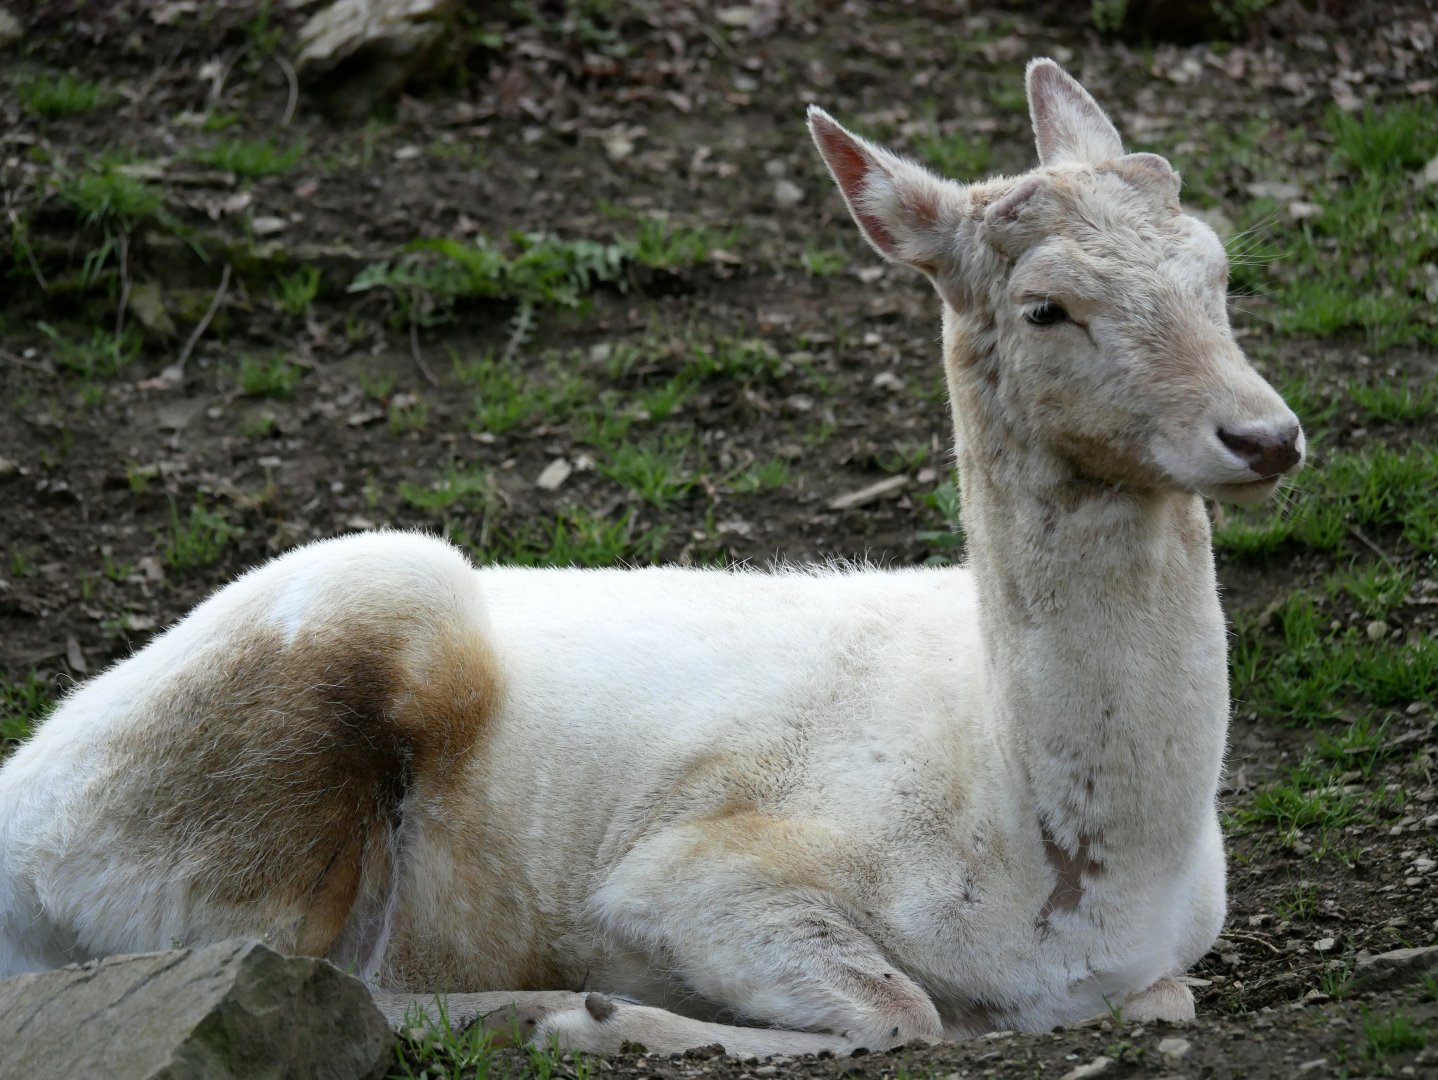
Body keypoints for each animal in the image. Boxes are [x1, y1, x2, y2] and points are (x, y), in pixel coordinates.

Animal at [0, 60, 1303, 1056]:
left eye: (1215, 267)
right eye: (1045, 307)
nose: (1266, 435)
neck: (1068, 886)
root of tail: (21, 801)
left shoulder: (1165, 962)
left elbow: (1160, 1001)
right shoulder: (689, 875)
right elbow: (898, 1013)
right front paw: (600, 1016)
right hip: (299, 710)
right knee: (315, 972)